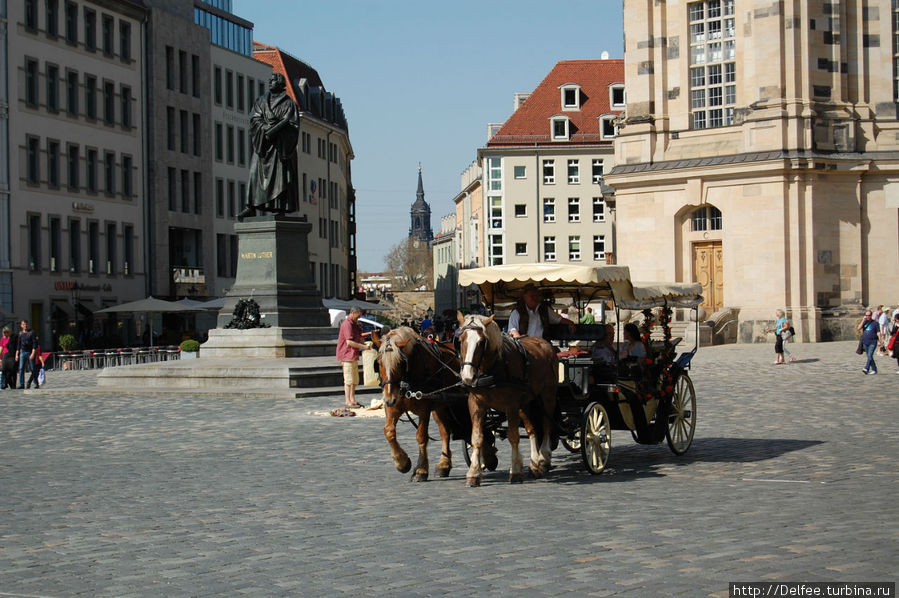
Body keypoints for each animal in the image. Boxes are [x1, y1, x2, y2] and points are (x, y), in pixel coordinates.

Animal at [370, 328, 474, 482]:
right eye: (378, 363)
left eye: (400, 363)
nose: (388, 398)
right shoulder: (393, 407)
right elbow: (388, 432)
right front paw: (402, 463)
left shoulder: (423, 409)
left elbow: (421, 436)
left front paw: (420, 470)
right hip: (440, 406)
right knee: (445, 432)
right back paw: (444, 465)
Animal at [460, 314, 560, 488]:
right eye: (461, 340)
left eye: (481, 342)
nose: (467, 376)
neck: (491, 370)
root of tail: (544, 343)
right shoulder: (476, 404)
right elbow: (477, 438)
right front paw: (474, 473)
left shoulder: (511, 405)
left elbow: (513, 436)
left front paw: (516, 472)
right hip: (526, 402)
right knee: (532, 430)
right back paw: (534, 464)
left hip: (548, 395)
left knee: (547, 425)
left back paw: (544, 459)